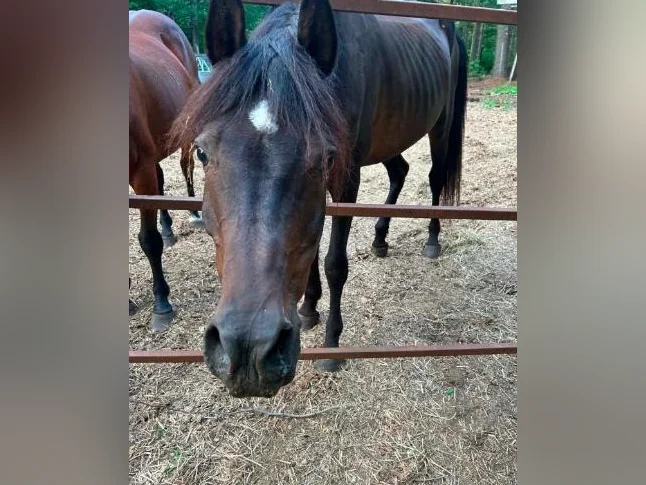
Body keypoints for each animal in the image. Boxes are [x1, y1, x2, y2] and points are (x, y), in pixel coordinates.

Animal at [170, 0, 467, 397]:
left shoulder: (346, 178)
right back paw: (380, 239)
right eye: (202, 152)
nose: (248, 347)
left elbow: (334, 263)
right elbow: (309, 248)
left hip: (440, 125)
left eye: (325, 157)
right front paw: (309, 308)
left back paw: (432, 240)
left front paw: (330, 346)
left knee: (434, 179)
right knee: (400, 171)